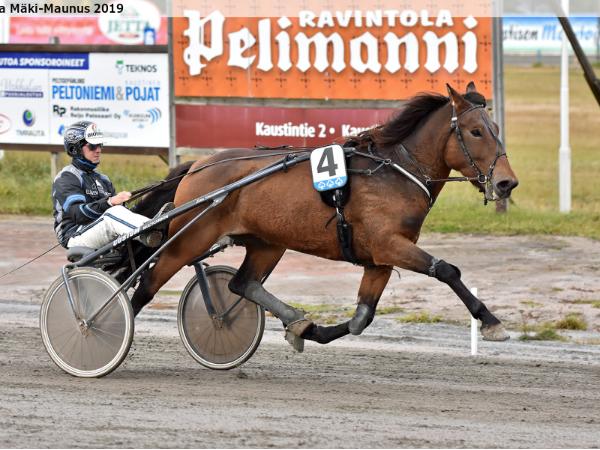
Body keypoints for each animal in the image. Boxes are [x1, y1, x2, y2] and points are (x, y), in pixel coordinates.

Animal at [130, 82, 518, 347]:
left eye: (497, 130)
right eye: (475, 131)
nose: (506, 183)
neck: (396, 171)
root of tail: (198, 166)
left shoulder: (380, 259)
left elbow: (362, 318)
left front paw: (310, 330)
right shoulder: (390, 245)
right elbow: (447, 270)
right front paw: (491, 321)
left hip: (268, 242)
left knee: (243, 283)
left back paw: (293, 319)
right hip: (187, 241)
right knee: (145, 287)